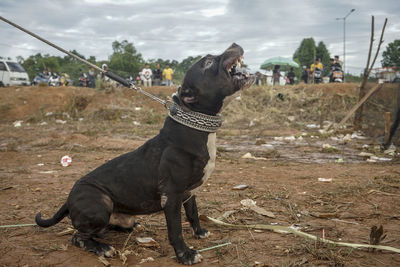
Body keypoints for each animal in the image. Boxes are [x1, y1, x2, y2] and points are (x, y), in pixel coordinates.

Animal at [36, 43, 255, 264]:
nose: (234, 45)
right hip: (101, 203)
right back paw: (102, 248)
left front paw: (200, 232)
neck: (194, 126)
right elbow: (175, 230)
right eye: (208, 62)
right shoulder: (172, 196)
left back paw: (131, 227)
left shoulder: (189, 193)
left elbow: (193, 213)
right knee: (78, 236)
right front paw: (185, 254)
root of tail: (68, 200)